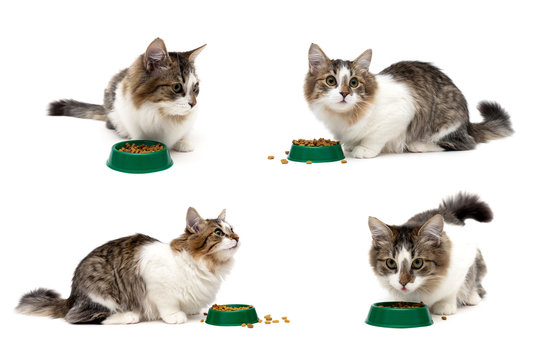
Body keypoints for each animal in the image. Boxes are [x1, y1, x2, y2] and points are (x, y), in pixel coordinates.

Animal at [16, 207, 238, 324]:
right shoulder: (158, 288)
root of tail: (72, 296)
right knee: (86, 317)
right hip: (103, 292)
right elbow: (168, 305)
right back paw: (128, 316)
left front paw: (192, 311)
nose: (237, 238)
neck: (205, 265)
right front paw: (176, 316)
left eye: (232, 230)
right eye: (219, 233)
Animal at [48, 38, 206, 152]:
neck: (160, 112)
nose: (194, 104)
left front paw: (183, 143)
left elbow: (184, 134)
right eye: (176, 87)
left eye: (195, 88)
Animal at [304, 43, 516, 158]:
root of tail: (467, 123)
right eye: (331, 81)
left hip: (446, 121)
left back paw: (418, 145)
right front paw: (350, 144)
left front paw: (364, 149)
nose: (344, 94)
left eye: (354, 83)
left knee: (461, 143)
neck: (347, 116)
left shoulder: (401, 113)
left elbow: (375, 137)